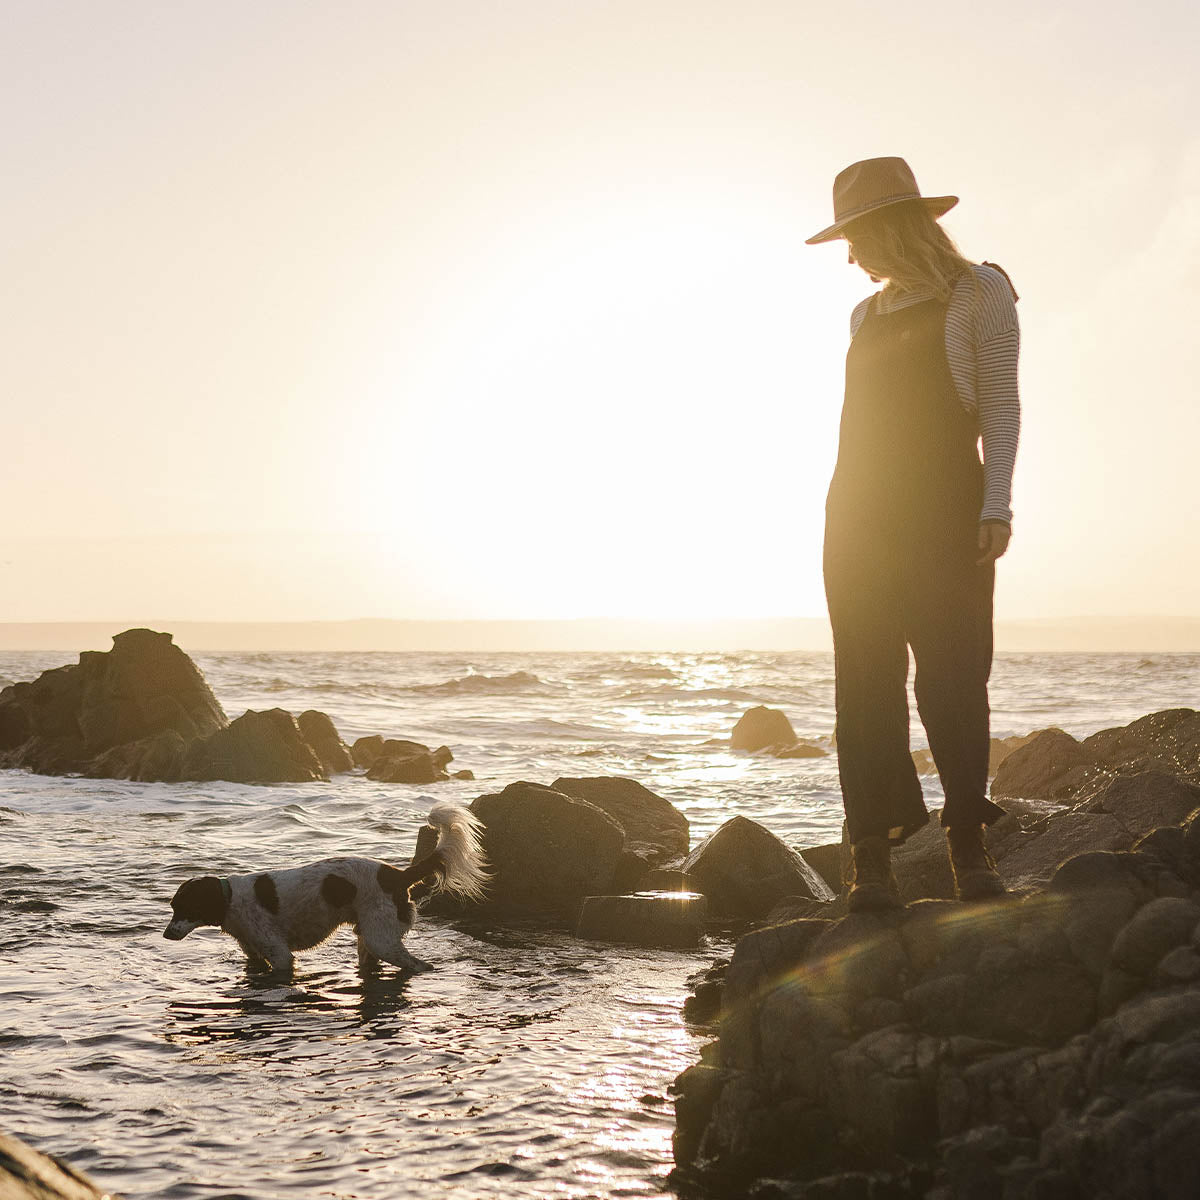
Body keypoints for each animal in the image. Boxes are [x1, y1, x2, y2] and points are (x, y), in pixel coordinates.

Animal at [164, 796, 487, 974]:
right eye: (172, 906)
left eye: (184, 907)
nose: (166, 935)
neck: (230, 900)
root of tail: (397, 874)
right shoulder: (254, 956)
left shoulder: (280, 956)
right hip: (368, 940)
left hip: (382, 940)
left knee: (419, 966)